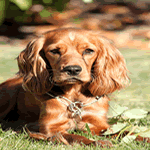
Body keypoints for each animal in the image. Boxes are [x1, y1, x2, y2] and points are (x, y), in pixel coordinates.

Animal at [0, 28, 129, 146]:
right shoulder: (51, 128)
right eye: (54, 51)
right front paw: (97, 142)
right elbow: (75, 137)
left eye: (88, 51)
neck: (74, 97)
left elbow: (122, 131)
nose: (72, 69)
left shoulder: (97, 123)